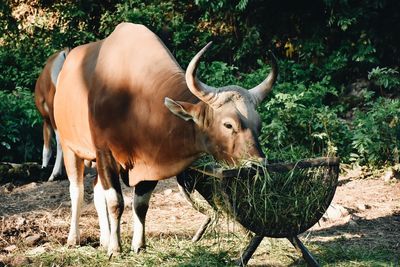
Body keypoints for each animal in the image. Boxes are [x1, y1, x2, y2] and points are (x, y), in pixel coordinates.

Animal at [53, 23, 276, 258]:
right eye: (228, 124)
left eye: (258, 124)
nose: (258, 164)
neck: (135, 101)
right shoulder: (105, 152)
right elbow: (115, 202)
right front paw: (116, 248)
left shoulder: (151, 162)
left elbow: (140, 205)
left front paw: (138, 245)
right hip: (70, 149)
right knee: (77, 191)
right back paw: (74, 238)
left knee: (96, 192)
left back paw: (104, 239)